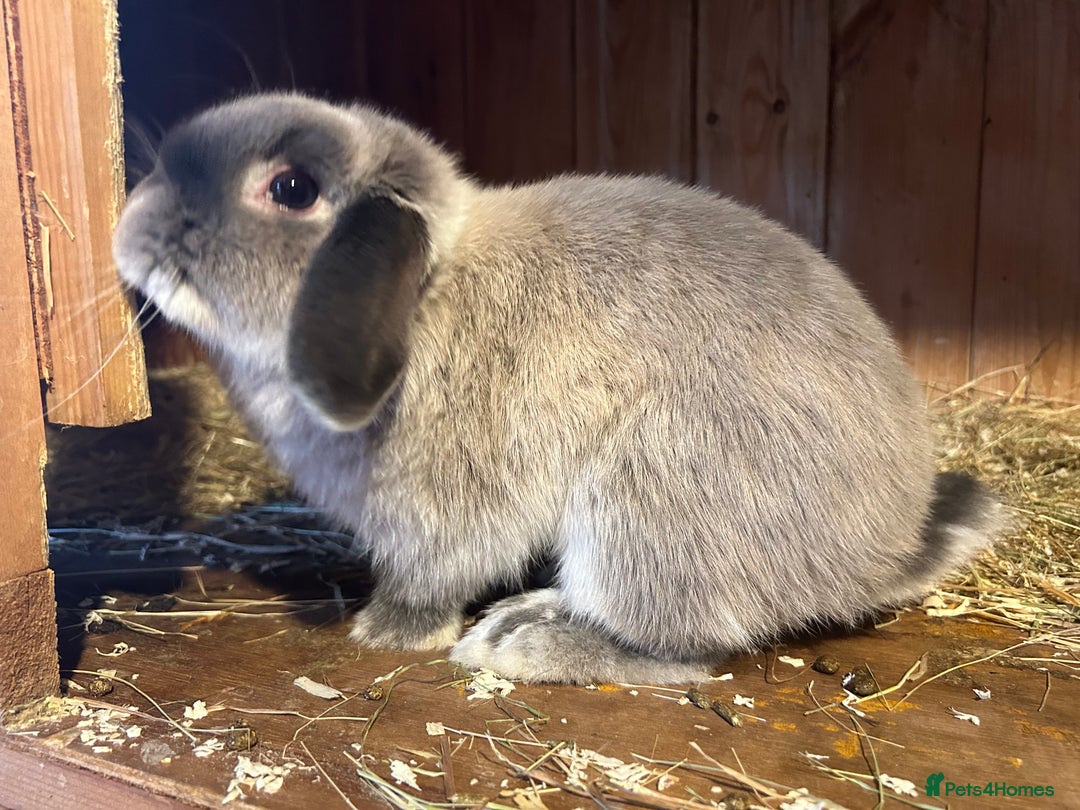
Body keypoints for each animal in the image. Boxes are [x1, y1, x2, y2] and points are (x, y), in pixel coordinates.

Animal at [113, 92, 1004, 685]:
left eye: (291, 189)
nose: (130, 225)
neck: (429, 294)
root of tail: (881, 554)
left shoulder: (444, 510)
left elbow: (432, 575)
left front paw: (387, 633)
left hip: (648, 501)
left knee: (687, 651)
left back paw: (519, 643)